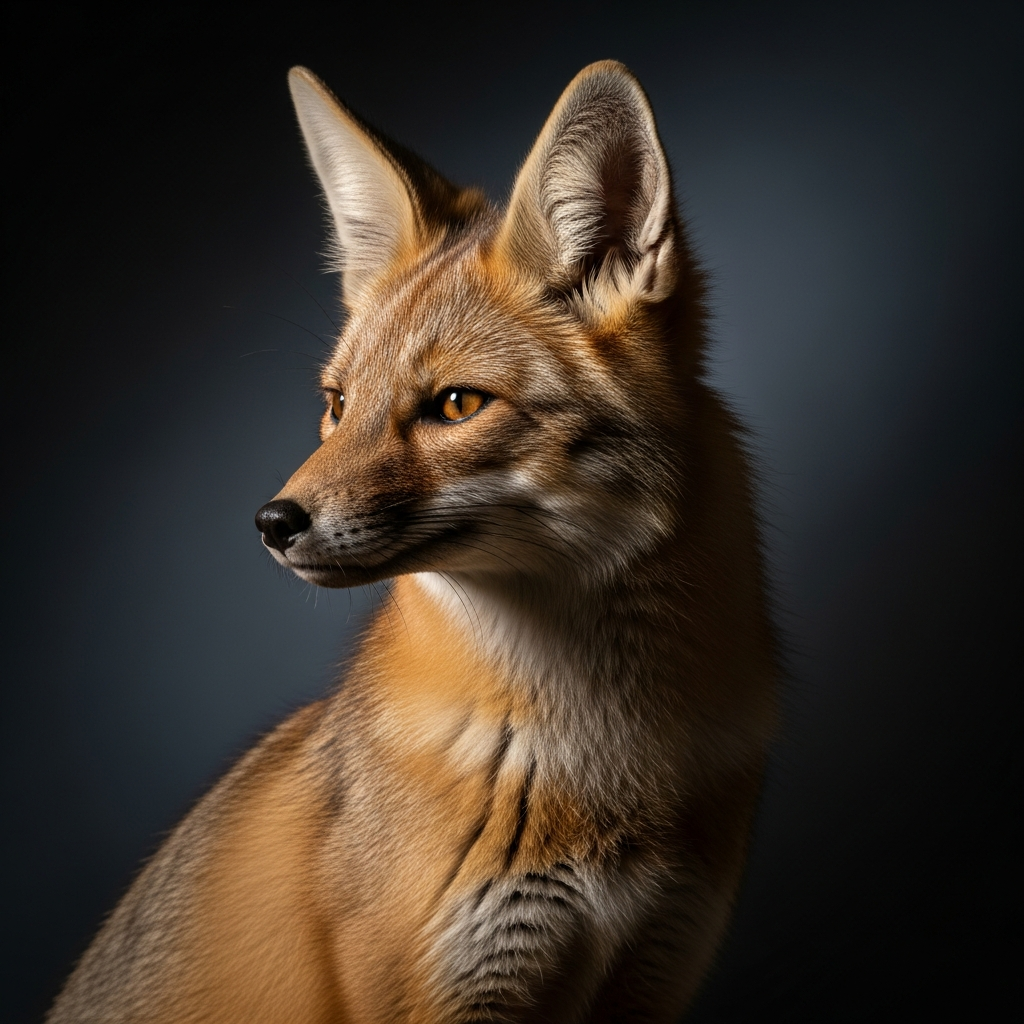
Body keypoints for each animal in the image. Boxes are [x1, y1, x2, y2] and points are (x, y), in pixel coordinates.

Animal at [48, 61, 778, 1023]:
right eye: (336, 404)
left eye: (457, 405)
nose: (272, 522)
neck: (596, 768)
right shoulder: (447, 988)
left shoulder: (657, 967)